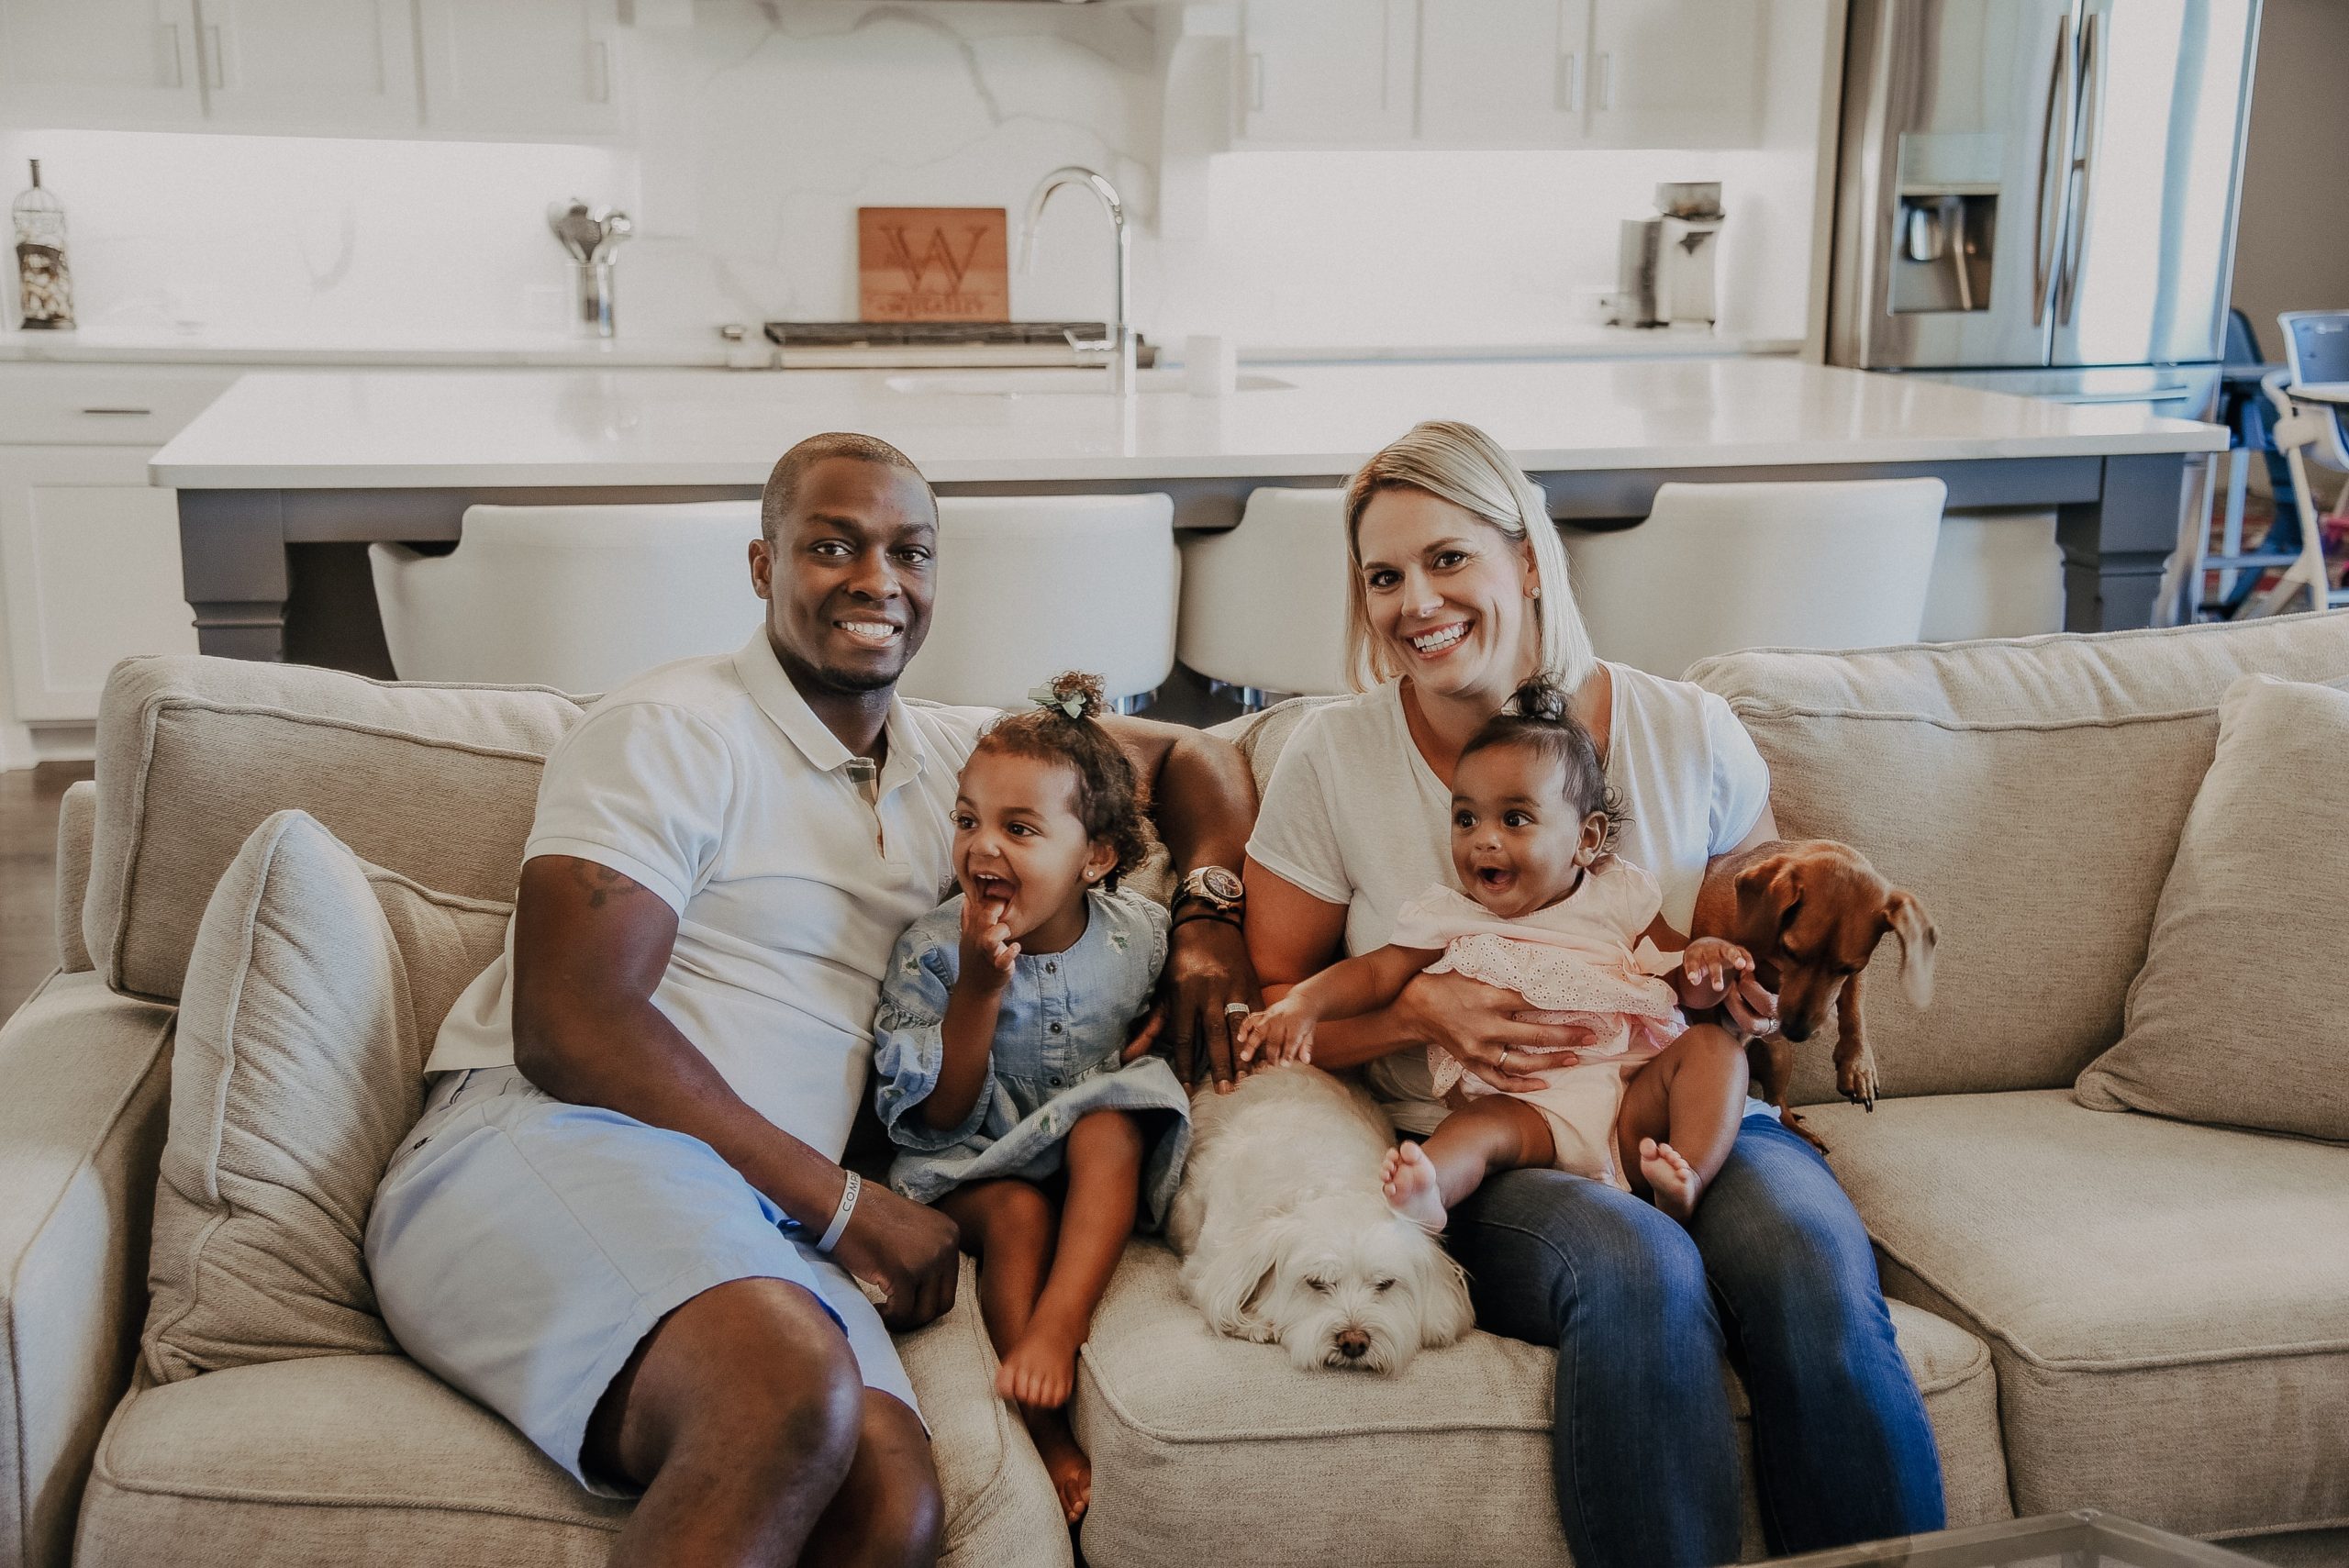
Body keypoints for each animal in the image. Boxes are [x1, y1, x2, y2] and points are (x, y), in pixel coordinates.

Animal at [1169, 1065, 1475, 1371]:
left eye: (1385, 1284)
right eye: (1316, 1283)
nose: (1354, 1342)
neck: (1333, 1186)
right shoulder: (1209, 1263)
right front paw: (1256, 1323)